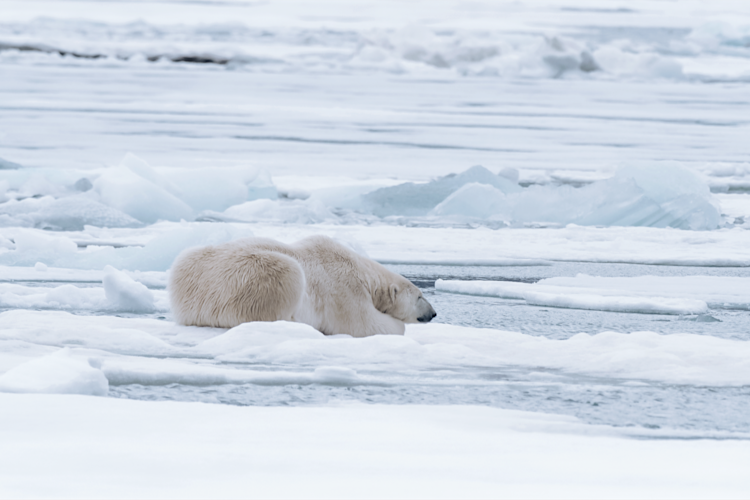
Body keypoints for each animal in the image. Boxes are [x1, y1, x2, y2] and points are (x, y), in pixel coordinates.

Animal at [168, 235, 437, 337]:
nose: (434, 313)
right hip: (254, 277)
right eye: (420, 296)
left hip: (187, 261)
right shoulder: (343, 289)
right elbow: (363, 324)